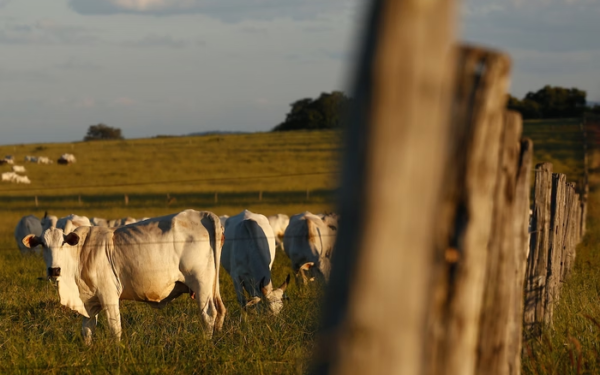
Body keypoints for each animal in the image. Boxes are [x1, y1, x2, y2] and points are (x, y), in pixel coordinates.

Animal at [21, 210, 225, 346]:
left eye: (63, 243)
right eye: (43, 244)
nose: (54, 270)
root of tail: (203, 214)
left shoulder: (109, 295)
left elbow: (114, 328)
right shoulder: (89, 301)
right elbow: (87, 330)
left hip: (201, 284)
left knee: (208, 314)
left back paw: (206, 343)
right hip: (211, 287)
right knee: (220, 310)